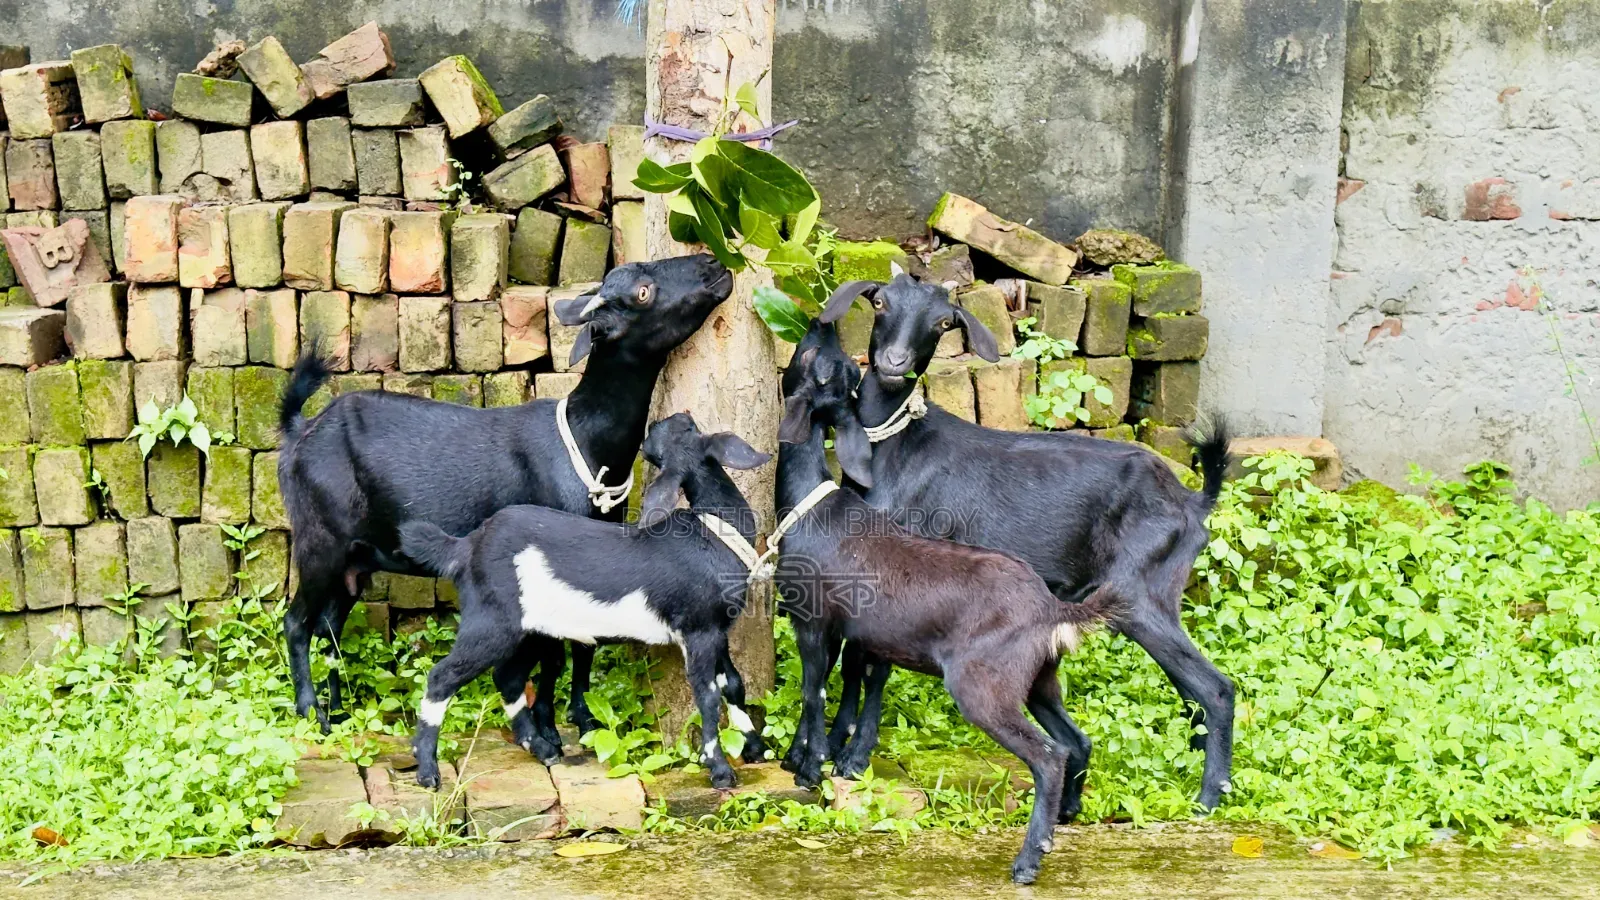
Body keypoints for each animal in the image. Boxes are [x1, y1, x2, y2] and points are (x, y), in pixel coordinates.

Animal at [277, 254, 733, 759]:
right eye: (643, 293)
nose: (711, 263)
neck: (586, 446)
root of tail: (300, 431)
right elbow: (554, 654)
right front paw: (548, 730)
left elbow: (583, 647)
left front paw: (582, 720)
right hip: (319, 542)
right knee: (296, 622)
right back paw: (310, 712)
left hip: (356, 561)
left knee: (330, 629)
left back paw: (339, 711)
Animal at [398, 413, 770, 790]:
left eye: (690, 429)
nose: (671, 418)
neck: (714, 532)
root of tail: (467, 547)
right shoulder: (697, 630)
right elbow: (707, 696)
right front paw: (720, 769)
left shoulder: (716, 630)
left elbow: (733, 685)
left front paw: (755, 747)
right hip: (491, 622)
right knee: (443, 677)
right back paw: (427, 770)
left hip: (529, 631)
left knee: (508, 678)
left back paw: (541, 748)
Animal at [772, 321, 1114, 885]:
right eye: (839, 370)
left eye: (813, 359)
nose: (824, 324)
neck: (809, 501)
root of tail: (1051, 611)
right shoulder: (846, 632)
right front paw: (802, 760)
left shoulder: (813, 622)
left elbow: (812, 693)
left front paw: (808, 769)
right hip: (1037, 680)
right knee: (1073, 743)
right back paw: (1063, 820)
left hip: (981, 686)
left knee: (1047, 756)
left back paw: (1027, 861)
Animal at [817, 273, 1236, 811]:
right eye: (881, 302)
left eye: (943, 322)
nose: (894, 363)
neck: (891, 450)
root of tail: (1192, 501)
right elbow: (853, 662)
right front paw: (834, 745)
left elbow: (872, 668)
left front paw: (853, 757)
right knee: (1191, 691)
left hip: (1142, 596)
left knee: (1216, 688)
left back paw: (1207, 798)